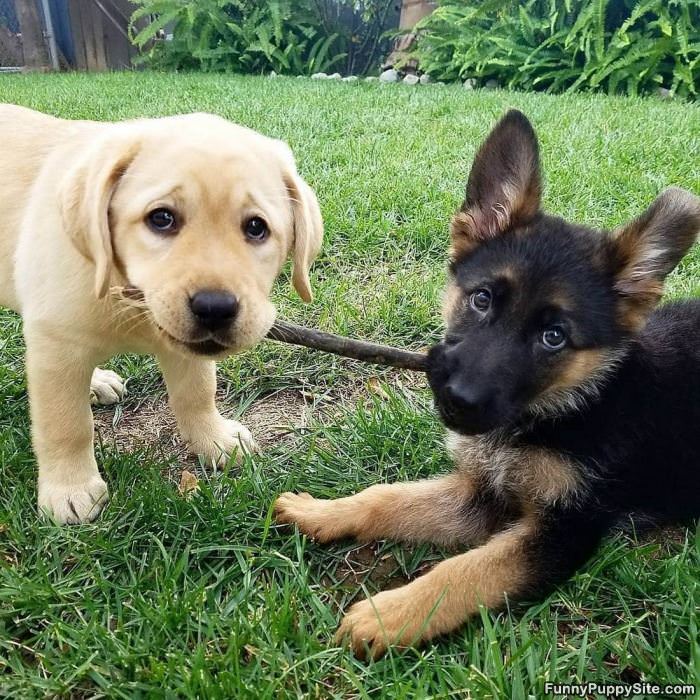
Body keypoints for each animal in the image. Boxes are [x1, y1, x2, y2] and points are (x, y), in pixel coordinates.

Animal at [0, 105, 322, 524]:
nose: (215, 308)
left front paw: (214, 439)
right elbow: (66, 424)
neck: (129, 294)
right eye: (162, 218)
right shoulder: (55, 345)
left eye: (256, 227)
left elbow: (197, 392)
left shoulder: (183, 347)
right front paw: (70, 489)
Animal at [274, 112, 700, 660]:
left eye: (554, 336)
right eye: (482, 299)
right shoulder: (482, 495)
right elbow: (387, 498)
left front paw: (390, 615)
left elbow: (466, 570)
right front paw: (322, 512)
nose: (458, 400)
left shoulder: (566, 530)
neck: (565, 407)